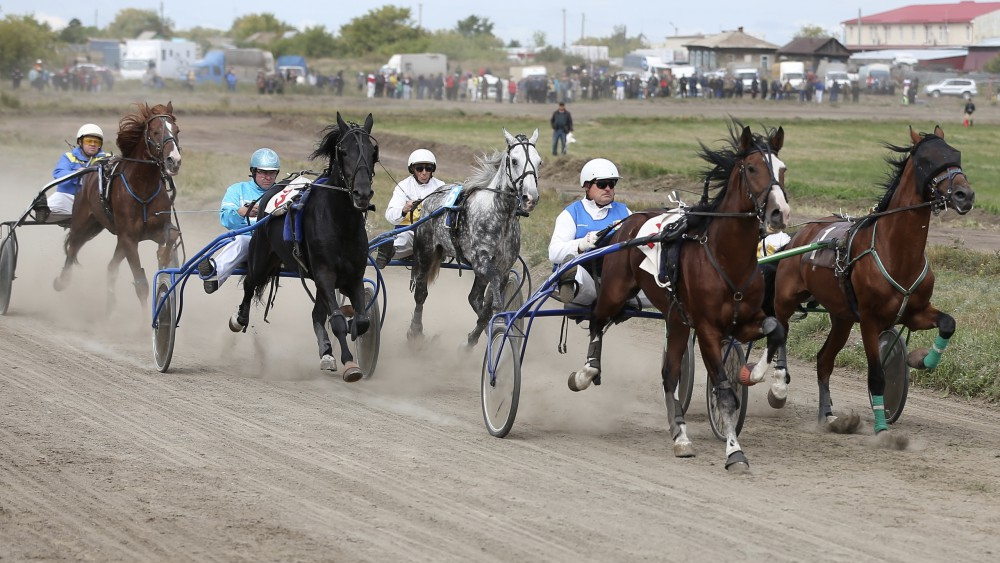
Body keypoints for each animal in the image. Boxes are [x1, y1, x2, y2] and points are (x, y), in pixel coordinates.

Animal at [52, 103, 183, 310]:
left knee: (110, 266)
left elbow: (173, 233)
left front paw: (163, 255)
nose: (174, 160)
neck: (143, 188)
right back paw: (62, 281)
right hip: (83, 223)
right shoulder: (129, 238)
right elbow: (141, 285)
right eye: (155, 131)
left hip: (106, 232)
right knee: (72, 247)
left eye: (177, 130)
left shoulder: (154, 229)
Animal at [230, 112, 378, 382]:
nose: (361, 193)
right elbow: (337, 320)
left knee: (316, 314)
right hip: (261, 256)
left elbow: (361, 321)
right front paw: (349, 363)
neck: (341, 222)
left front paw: (351, 335)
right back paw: (239, 319)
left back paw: (326, 352)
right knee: (249, 283)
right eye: (343, 151)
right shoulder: (325, 273)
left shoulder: (352, 276)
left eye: (373, 151)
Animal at [406, 129, 540, 348]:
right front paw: (498, 319)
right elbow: (492, 299)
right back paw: (415, 331)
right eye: (514, 160)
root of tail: (430, 197)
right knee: (421, 292)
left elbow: (486, 305)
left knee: (474, 298)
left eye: (539, 161)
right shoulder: (482, 260)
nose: (530, 198)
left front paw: (476, 337)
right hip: (426, 251)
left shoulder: (503, 267)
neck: (498, 214)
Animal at [768, 125, 972, 448]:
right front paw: (882, 430)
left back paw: (828, 416)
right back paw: (778, 388)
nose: (966, 195)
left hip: (841, 318)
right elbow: (876, 375)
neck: (897, 253)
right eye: (927, 160)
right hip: (786, 299)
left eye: (956, 154)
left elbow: (948, 324)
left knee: (824, 360)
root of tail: (800, 235)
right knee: (781, 332)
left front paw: (920, 359)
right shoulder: (869, 320)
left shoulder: (915, 312)